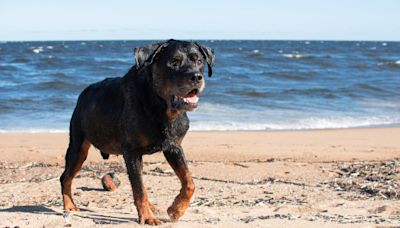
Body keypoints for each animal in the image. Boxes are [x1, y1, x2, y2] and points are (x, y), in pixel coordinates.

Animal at [59, 39, 214, 224]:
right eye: (173, 63)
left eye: (199, 61)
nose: (196, 77)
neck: (161, 107)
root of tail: (83, 93)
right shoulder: (132, 152)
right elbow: (139, 189)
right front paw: (147, 217)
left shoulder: (173, 147)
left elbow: (189, 182)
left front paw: (176, 209)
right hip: (78, 145)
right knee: (66, 176)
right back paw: (69, 205)